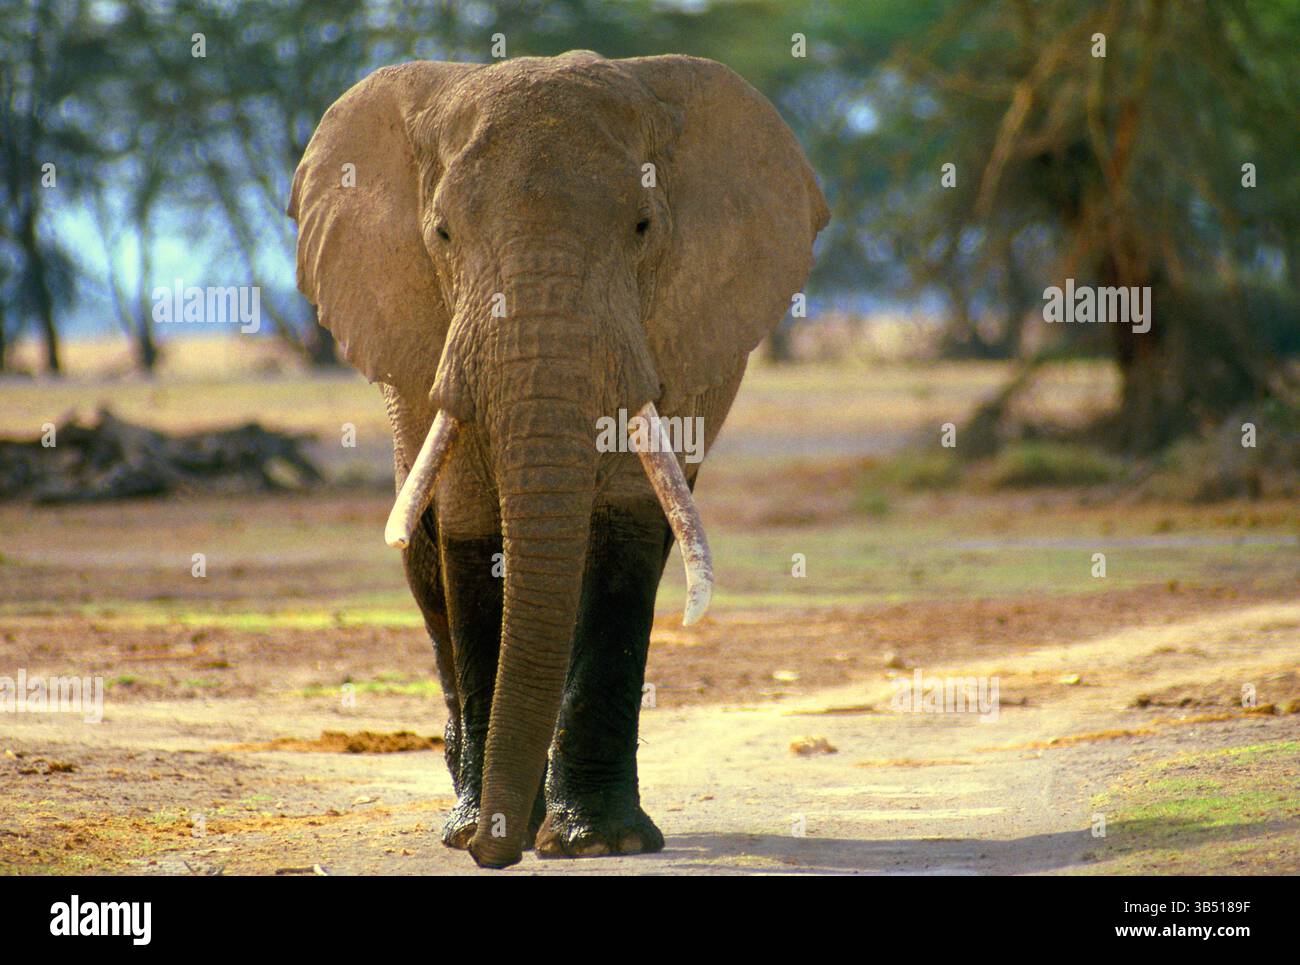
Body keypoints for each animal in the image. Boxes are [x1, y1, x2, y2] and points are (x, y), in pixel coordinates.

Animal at [288, 50, 827, 868]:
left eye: (642, 227)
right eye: (441, 234)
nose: (497, 847)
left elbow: (623, 539)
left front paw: (596, 842)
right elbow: (472, 535)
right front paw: (480, 833)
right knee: (424, 562)